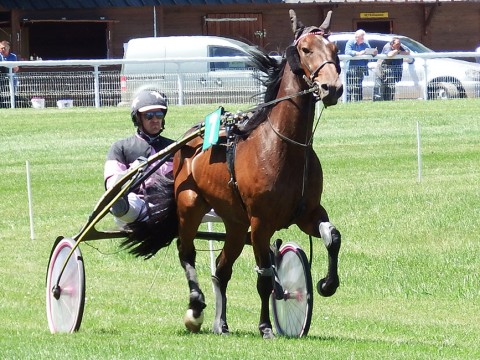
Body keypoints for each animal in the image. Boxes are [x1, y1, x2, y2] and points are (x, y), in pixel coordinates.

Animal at [122, 9, 344, 338]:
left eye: (334, 49)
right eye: (305, 49)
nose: (333, 88)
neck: (282, 147)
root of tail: (188, 140)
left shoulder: (308, 213)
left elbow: (333, 237)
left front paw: (327, 283)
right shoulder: (261, 223)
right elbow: (264, 276)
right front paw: (266, 326)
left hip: (236, 224)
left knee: (221, 268)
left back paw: (221, 322)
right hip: (191, 205)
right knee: (186, 252)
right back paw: (196, 307)